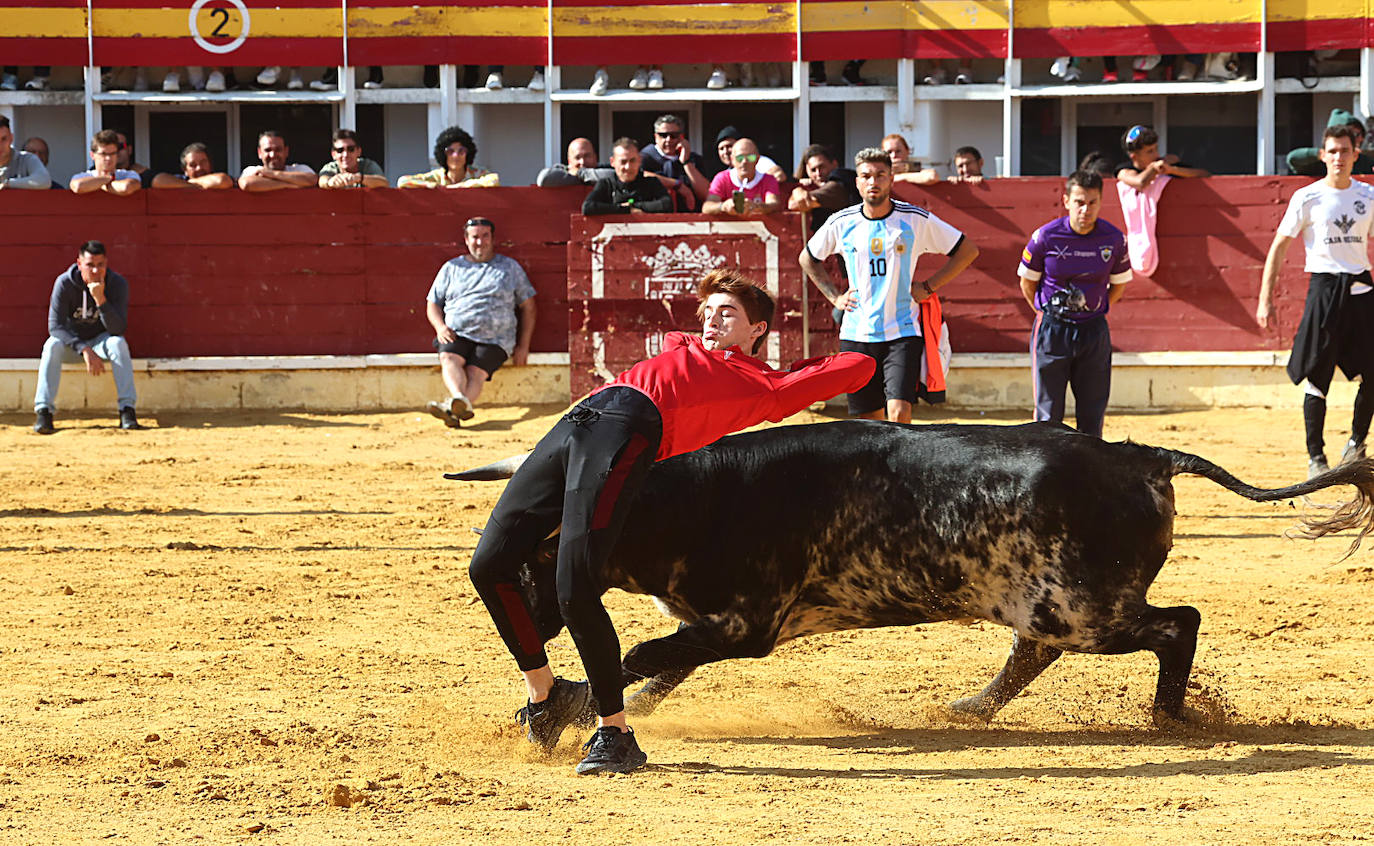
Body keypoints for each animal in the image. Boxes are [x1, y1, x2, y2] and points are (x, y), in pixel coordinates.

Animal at [447, 423, 1374, 725]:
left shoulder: (744, 626)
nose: (531, 618)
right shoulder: (712, 627)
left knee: (1178, 624)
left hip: (1086, 609)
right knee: (1033, 654)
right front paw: (623, 711)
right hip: (1050, 607)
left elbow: (644, 655)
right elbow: (664, 668)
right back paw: (970, 710)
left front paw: (581, 705)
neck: (676, 499)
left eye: (533, 556)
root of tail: (1139, 454)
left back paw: (1167, 714)